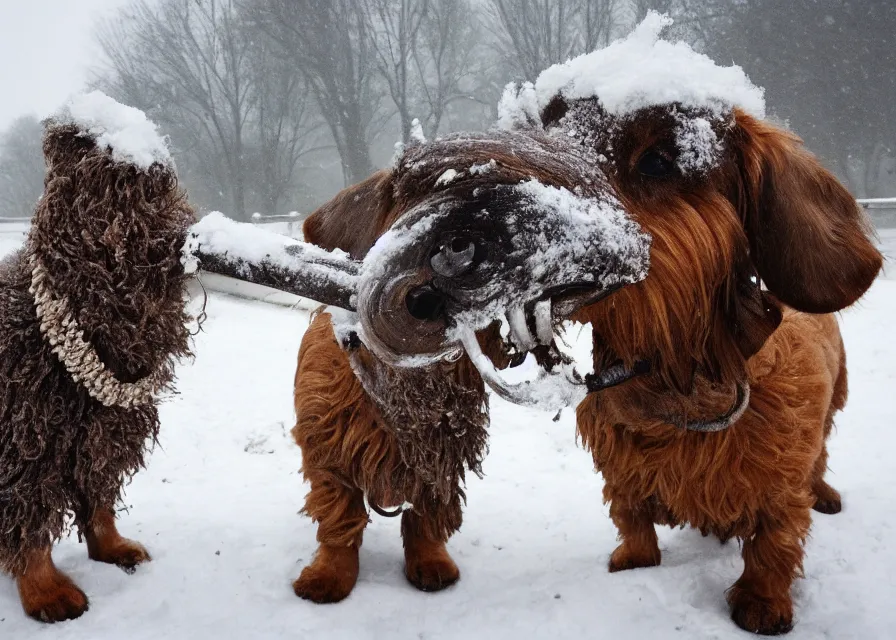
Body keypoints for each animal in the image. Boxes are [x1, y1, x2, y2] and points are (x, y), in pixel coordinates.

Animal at [0, 107, 193, 624]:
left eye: (160, 189)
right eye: (113, 191)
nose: (171, 238)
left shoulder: (101, 430)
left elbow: (99, 495)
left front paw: (111, 548)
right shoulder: (26, 440)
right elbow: (29, 525)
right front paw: (45, 592)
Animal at [524, 97, 880, 636]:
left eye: (657, 161)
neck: (680, 378)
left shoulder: (782, 483)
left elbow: (774, 539)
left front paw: (762, 601)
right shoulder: (619, 468)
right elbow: (630, 515)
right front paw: (634, 558)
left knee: (820, 459)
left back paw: (824, 492)